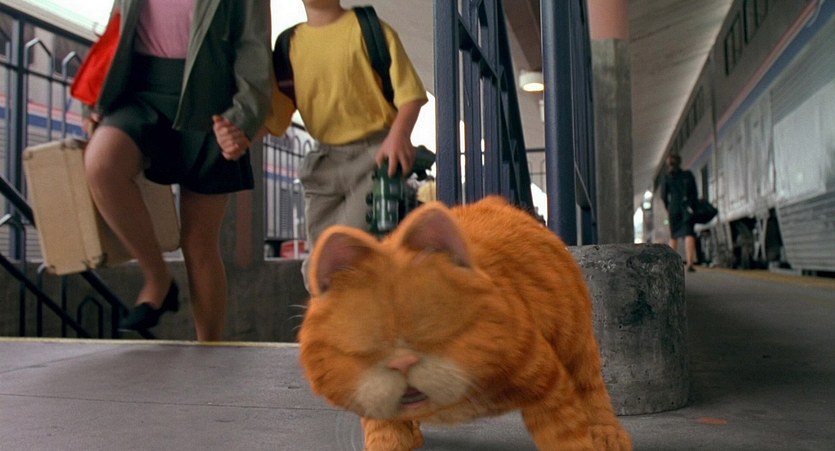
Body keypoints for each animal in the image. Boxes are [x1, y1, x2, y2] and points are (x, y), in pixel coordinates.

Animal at [299, 196, 632, 451]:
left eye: (434, 329)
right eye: (369, 345)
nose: (403, 362)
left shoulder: (549, 385)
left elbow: (567, 437)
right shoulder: (374, 406)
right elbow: (387, 434)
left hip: (576, 341)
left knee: (592, 389)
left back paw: (608, 435)